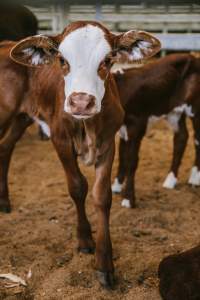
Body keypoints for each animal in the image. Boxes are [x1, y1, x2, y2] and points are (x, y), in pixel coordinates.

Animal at [0, 22, 160, 288]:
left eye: (108, 59)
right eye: (62, 60)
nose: (81, 102)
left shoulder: (108, 143)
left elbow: (101, 196)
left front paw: (104, 264)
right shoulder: (60, 140)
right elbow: (77, 187)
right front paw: (84, 239)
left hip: (22, 117)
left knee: (5, 147)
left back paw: (4, 201)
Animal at [111, 53, 200, 209]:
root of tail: (193, 57)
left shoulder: (137, 125)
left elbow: (132, 160)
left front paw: (128, 199)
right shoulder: (122, 128)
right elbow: (122, 156)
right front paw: (116, 186)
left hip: (196, 106)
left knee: (197, 138)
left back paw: (194, 179)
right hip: (173, 112)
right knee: (181, 137)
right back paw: (170, 180)